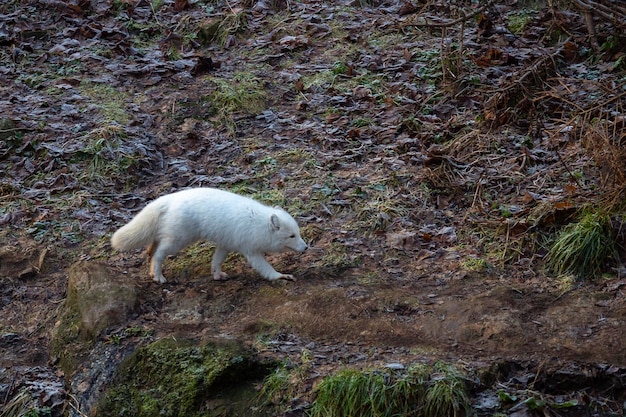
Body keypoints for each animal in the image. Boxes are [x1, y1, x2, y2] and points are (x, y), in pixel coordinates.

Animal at [112, 188, 310, 282]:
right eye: (292, 236)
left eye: (298, 233)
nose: (306, 247)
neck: (259, 224)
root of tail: (170, 198)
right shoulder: (251, 251)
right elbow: (265, 268)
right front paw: (280, 276)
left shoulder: (226, 244)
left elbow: (216, 261)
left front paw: (217, 275)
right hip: (179, 240)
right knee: (159, 253)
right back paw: (158, 276)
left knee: (152, 248)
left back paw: (152, 270)